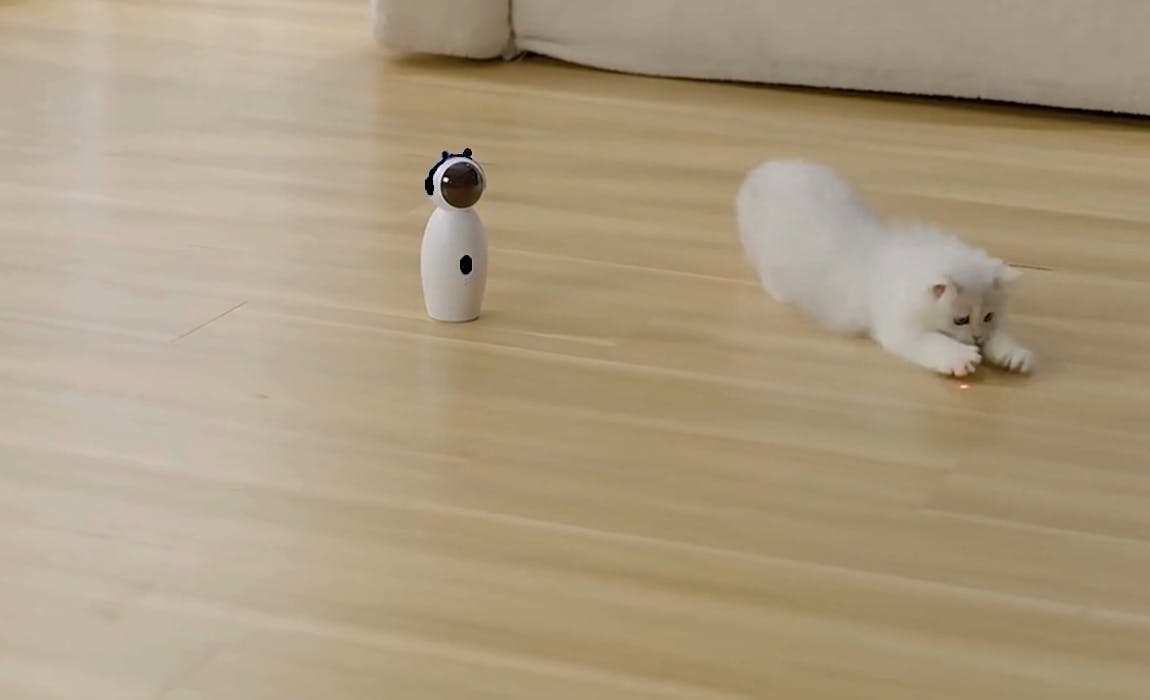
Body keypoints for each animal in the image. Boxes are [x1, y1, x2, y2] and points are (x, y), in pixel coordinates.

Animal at [735, 158, 1033, 377]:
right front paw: (960, 357)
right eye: (960, 319)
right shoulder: (899, 329)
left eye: (988, 316)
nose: (977, 339)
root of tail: (764, 172)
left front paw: (1012, 353)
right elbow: (933, 342)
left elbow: (1001, 336)